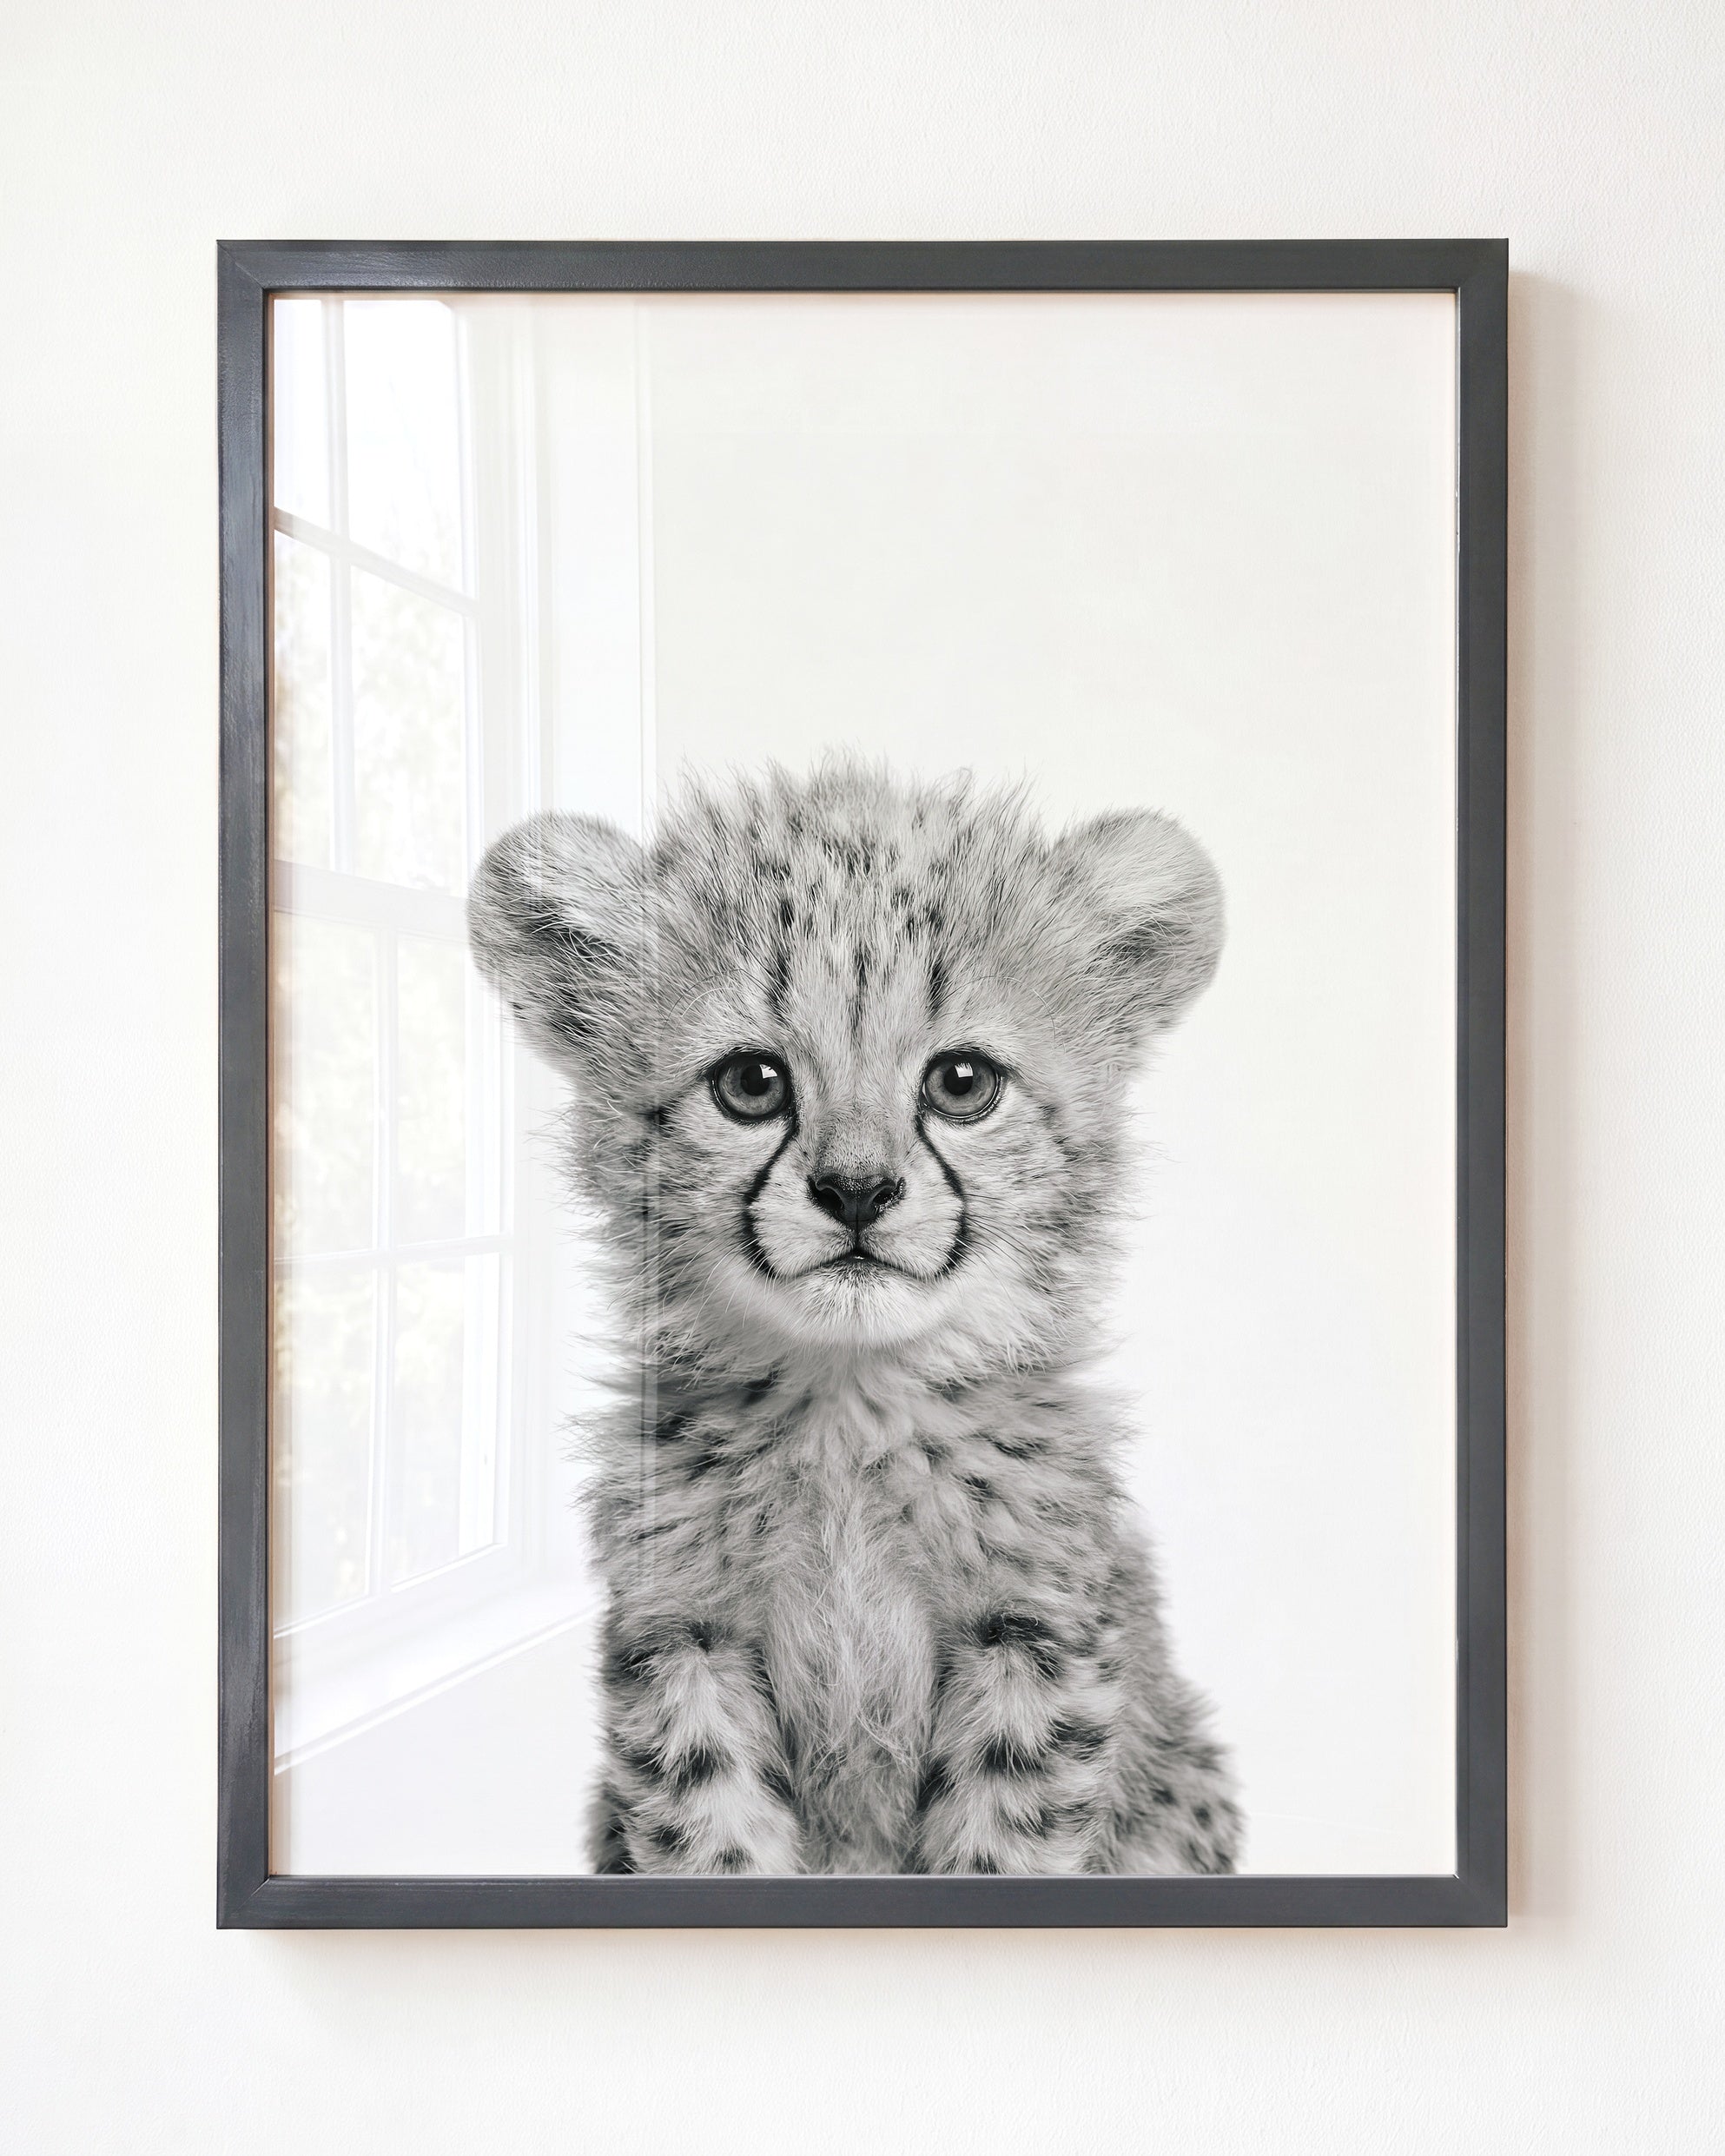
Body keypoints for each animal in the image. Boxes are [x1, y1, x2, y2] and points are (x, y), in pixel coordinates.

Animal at [468, 759, 1241, 1876]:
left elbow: (1001, 1845)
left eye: (962, 1082)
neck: (848, 1405)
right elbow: (714, 1836)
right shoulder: (684, 1637)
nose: (857, 1191)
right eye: (751, 1083)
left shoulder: (1035, 1637)